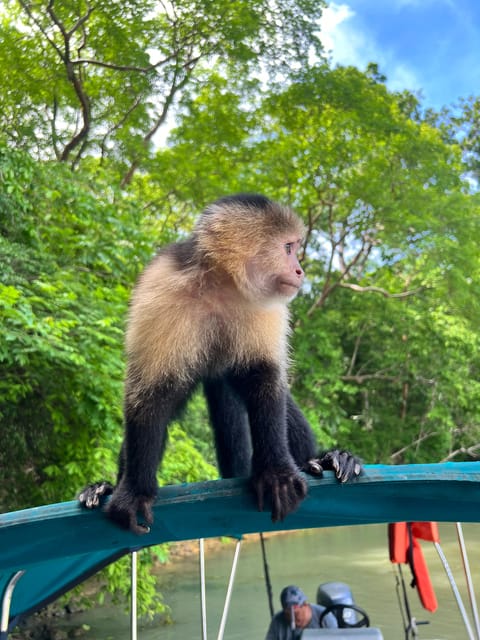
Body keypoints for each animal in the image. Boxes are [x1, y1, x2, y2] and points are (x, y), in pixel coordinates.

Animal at [79, 195, 360, 536]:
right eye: (288, 248)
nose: (300, 270)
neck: (219, 285)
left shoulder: (265, 303)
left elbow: (265, 380)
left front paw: (276, 474)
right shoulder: (160, 291)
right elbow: (151, 394)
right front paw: (133, 493)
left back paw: (325, 460)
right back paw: (104, 488)